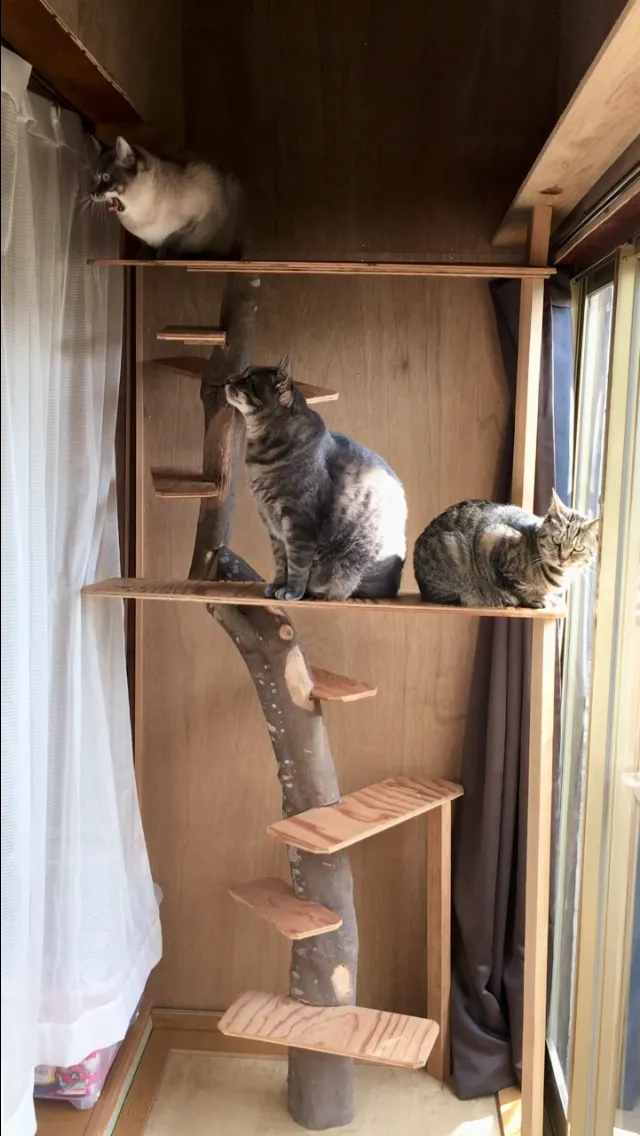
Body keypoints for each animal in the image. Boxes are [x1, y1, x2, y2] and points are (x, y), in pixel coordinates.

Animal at [90, 137, 242, 258]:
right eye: (95, 179)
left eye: (105, 177)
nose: (92, 193)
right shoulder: (143, 237)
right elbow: (146, 244)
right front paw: (144, 255)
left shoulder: (196, 219)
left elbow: (175, 237)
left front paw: (163, 254)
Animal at [225, 358, 407, 601]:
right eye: (242, 374)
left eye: (248, 379)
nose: (228, 379)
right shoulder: (272, 526)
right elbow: (281, 562)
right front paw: (277, 585)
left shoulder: (298, 521)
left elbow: (297, 563)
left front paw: (292, 591)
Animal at [413, 491, 599, 608]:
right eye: (556, 540)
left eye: (578, 548)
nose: (562, 558)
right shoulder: (493, 540)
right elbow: (516, 585)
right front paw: (532, 599)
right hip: (452, 549)